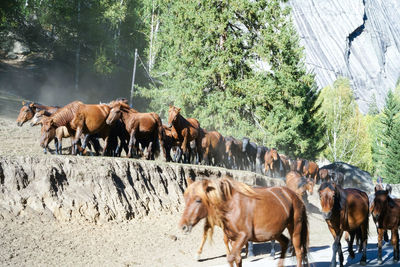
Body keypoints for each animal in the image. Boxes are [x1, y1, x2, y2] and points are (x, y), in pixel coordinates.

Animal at [180, 177, 310, 266]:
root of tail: (295, 196)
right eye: (185, 198)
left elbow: (230, 258)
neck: (232, 206)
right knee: (285, 243)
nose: (183, 226)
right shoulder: (234, 238)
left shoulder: (243, 236)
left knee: (299, 252)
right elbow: (237, 259)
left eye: (198, 200)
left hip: (295, 228)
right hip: (275, 232)